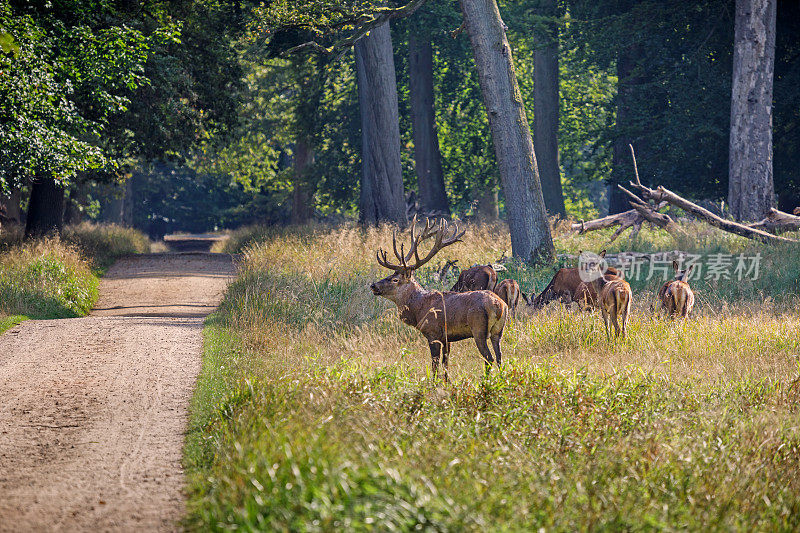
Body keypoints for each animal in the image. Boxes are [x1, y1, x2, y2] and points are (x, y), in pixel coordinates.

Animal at [370, 217, 506, 382]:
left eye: (395, 279)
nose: (373, 285)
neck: (418, 310)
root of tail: (499, 306)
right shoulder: (447, 338)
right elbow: (445, 363)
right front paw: (447, 382)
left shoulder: (433, 333)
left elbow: (434, 364)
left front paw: (433, 383)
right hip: (498, 331)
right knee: (499, 358)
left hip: (478, 328)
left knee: (489, 358)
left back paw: (486, 382)